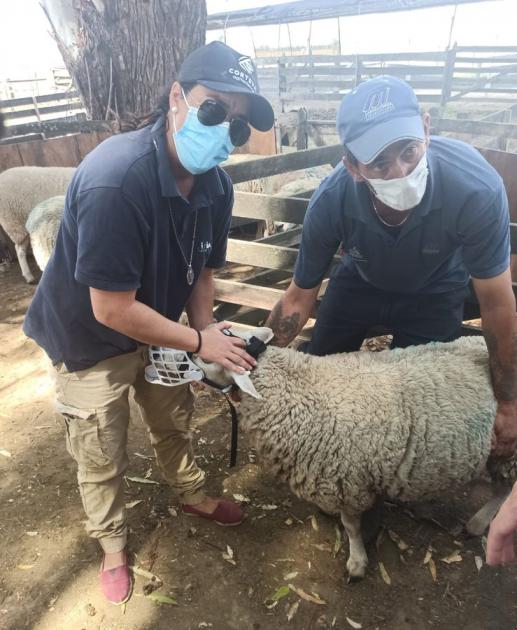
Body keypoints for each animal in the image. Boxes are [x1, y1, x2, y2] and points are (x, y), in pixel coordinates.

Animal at [194, 330, 516, 584]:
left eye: (211, 358)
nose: (191, 351)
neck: (295, 386)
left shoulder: (344, 477)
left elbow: (351, 527)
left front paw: (357, 563)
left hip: (507, 448)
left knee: (504, 489)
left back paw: (477, 524)